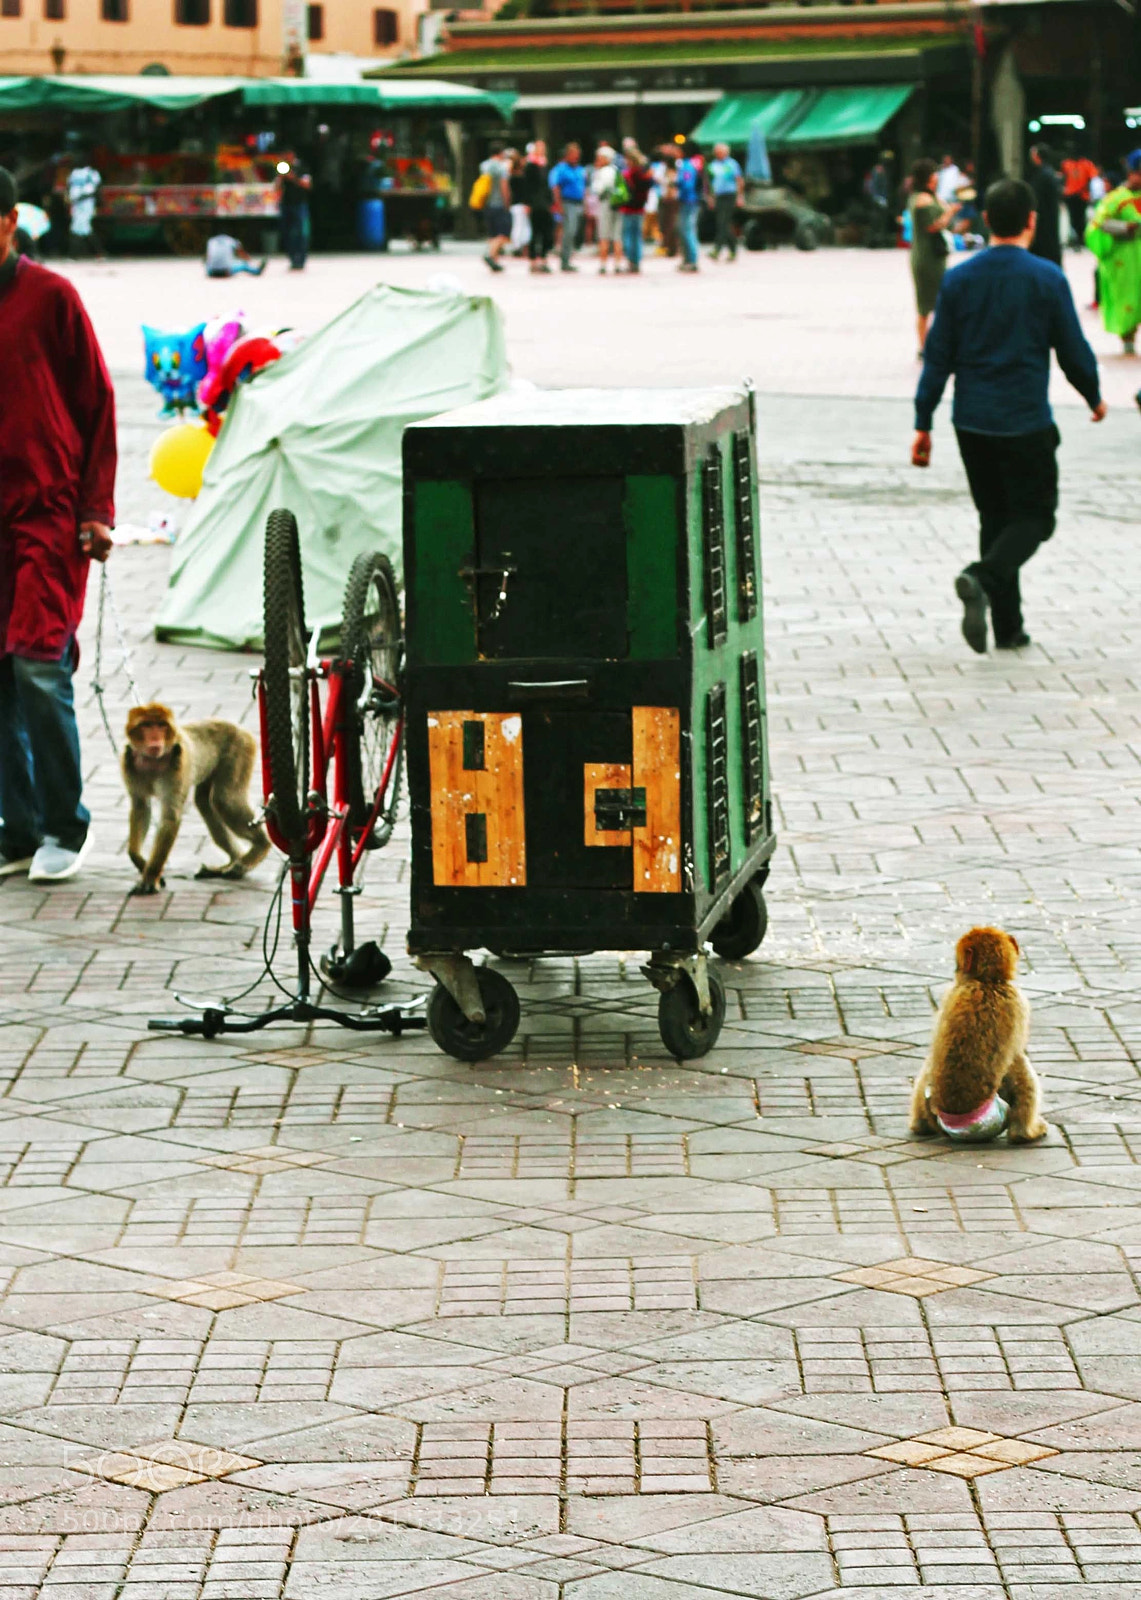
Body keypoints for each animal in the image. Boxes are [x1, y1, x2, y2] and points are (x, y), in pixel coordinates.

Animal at [122, 704, 271, 895]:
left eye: (161, 725)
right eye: (147, 725)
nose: (155, 738)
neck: (152, 760)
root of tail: (239, 728)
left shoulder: (177, 768)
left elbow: (170, 817)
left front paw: (150, 877)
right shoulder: (129, 763)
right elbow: (141, 807)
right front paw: (142, 863)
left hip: (241, 749)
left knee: (224, 800)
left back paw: (260, 848)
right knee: (204, 802)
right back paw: (231, 862)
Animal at [909, 926, 1047, 1145]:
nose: (956, 972)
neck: (986, 981)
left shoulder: (950, 993)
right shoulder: (1017, 1001)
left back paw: (921, 1127)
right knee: (1020, 1067)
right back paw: (1024, 1134)